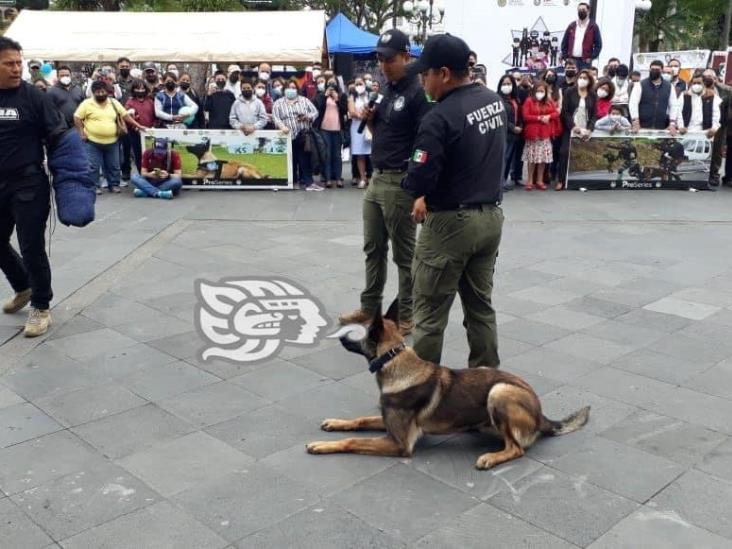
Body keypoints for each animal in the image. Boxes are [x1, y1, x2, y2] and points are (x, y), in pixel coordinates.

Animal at [306, 302, 592, 468]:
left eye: (358, 331)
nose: (338, 337)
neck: (395, 360)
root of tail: (541, 414)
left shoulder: (399, 443)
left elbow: (353, 441)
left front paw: (322, 446)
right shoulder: (386, 422)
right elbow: (361, 420)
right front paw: (336, 423)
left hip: (499, 391)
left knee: (517, 448)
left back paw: (491, 457)